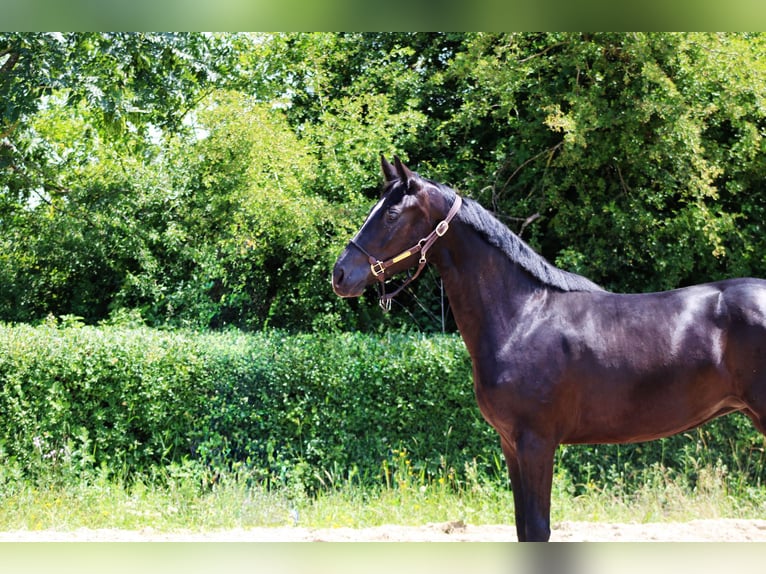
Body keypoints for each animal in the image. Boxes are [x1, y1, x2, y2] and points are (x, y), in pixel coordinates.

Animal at [331, 155, 766, 542]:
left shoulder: (536, 442)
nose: (340, 274)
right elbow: (524, 529)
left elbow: (538, 530)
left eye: (390, 215)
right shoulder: (511, 444)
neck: (522, 317)